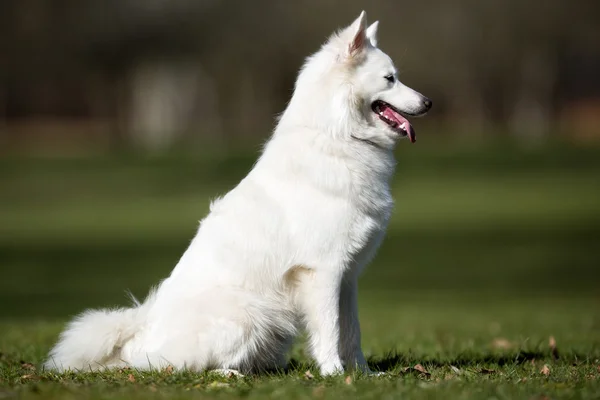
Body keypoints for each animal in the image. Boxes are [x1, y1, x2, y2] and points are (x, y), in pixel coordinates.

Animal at [47, 10, 432, 376]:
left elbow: (352, 333)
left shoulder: (347, 277)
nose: (428, 102)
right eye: (389, 78)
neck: (338, 136)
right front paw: (334, 374)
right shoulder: (323, 273)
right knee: (181, 366)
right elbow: (330, 332)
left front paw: (364, 375)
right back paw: (229, 374)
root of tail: (136, 338)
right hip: (249, 314)